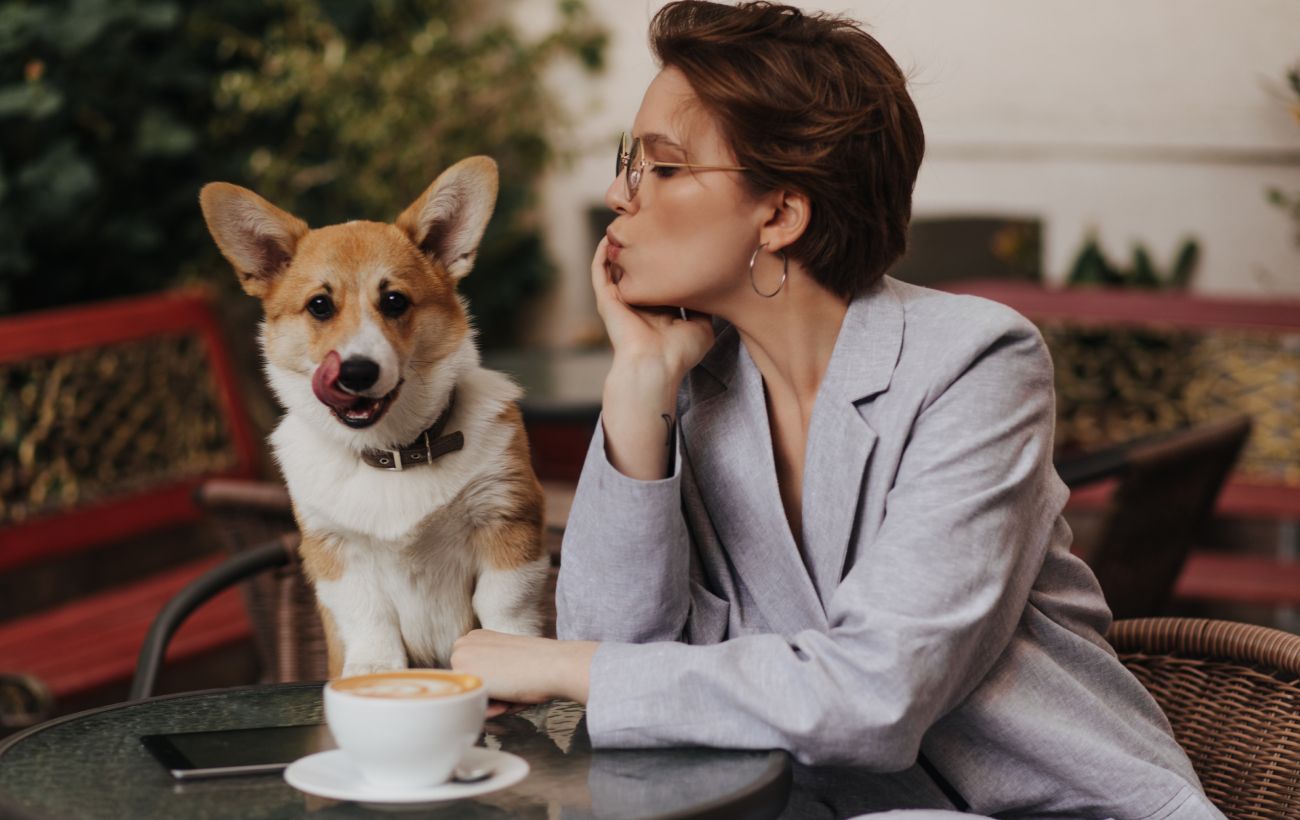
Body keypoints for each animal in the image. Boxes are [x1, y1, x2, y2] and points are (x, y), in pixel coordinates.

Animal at [197, 157, 548, 675]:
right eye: (320, 305)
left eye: (394, 301)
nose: (357, 372)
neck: (395, 451)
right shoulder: (334, 550)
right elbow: (369, 622)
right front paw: (374, 676)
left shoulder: (507, 519)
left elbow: (505, 607)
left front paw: (512, 656)